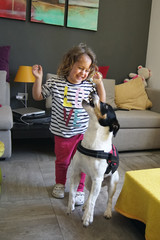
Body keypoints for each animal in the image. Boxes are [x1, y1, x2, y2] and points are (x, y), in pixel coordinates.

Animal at [66, 92, 120, 227]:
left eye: (106, 106)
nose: (94, 92)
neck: (92, 140)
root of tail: (104, 182)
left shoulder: (97, 178)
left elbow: (93, 201)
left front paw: (87, 218)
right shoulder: (76, 173)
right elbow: (73, 193)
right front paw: (70, 207)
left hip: (111, 183)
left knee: (108, 199)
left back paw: (107, 212)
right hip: (89, 182)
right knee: (91, 194)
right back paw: (85, 206)